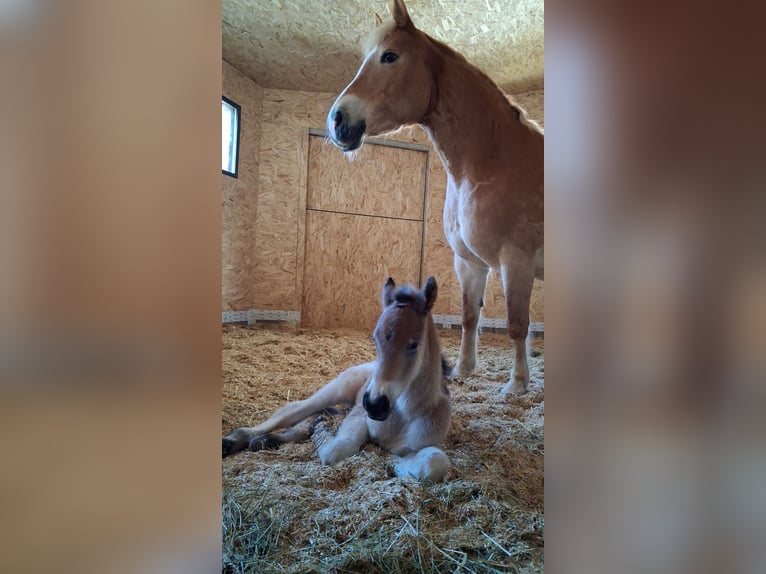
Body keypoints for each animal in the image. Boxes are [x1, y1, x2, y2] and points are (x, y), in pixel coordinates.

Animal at [222, 276, 453, 482]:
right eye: (375, 338)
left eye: (414, 344)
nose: (375, 404)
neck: (404, 414)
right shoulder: (359, 415)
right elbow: (338, 449)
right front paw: (322, 431)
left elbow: (434, 463)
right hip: (338, 388)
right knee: (293, 410)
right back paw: (234, 440)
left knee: (312, 415)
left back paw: (267, 440)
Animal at [326, 0, 544, 395]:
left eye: (390, 56)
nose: (337, 121)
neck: (493, 162)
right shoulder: (469, 262)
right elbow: (470, 316)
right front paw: (464, 369)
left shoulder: (515, 261)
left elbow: (517, 324)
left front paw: (517, 385)